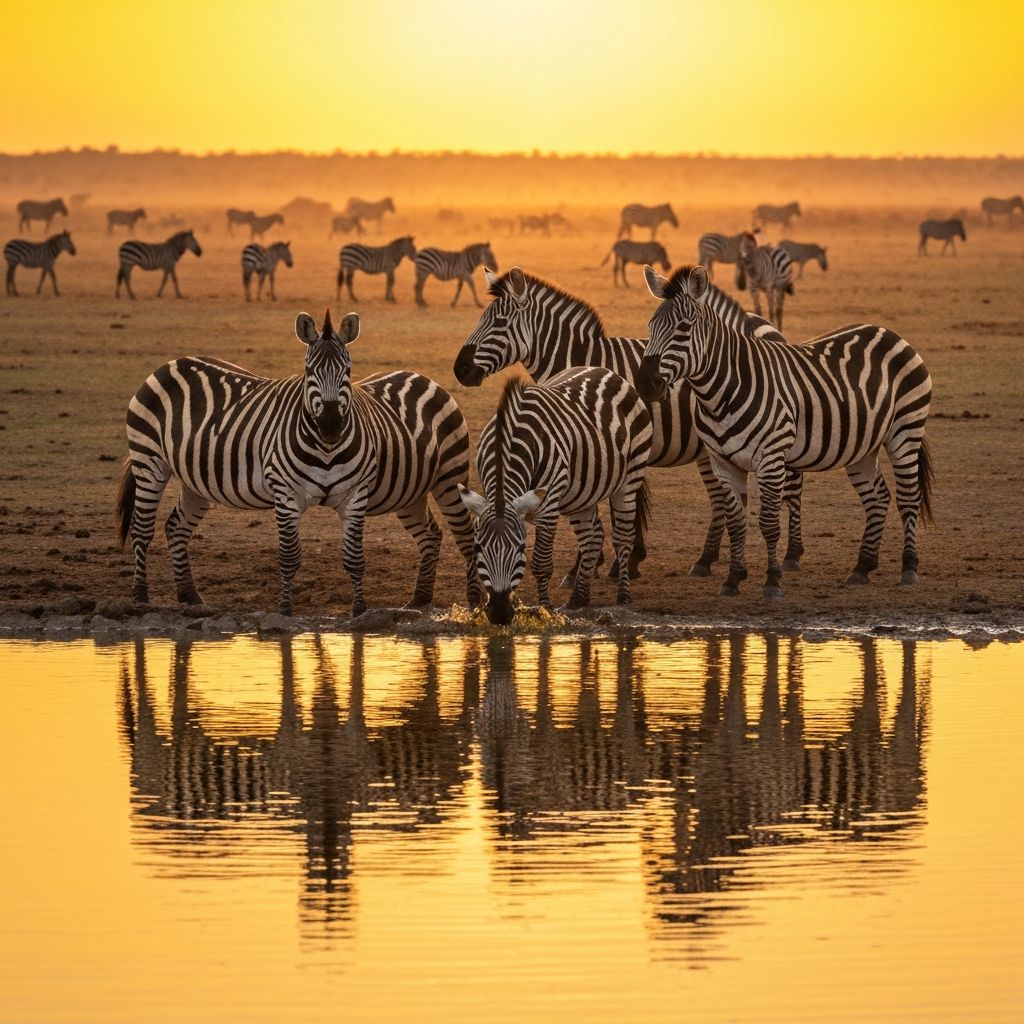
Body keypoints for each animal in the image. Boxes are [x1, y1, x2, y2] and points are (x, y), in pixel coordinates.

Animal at [115, 308, 481, 616]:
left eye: (348, 371)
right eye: (309, 371)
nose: (331, 424)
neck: (326, 447)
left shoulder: (356, 495)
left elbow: (354, 557)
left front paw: (359, 611)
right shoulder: (285, 492)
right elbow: (290, 556)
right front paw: (286, 610)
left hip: (441, 480)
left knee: (457, 535)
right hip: (150, 462)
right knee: (145, 528)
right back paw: (143, 597)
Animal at [453, 266, 807, 580]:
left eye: (499, 322)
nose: (460, 369)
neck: (582, 361)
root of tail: (770, 328)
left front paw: (598, 566)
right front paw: (620, 561)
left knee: (790, 484)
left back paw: (790, 554)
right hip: (714, 448)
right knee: (724, 501)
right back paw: (708, 559)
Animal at [459, 368, 652, 624]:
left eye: (521, 548)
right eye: (479, 548)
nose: (499, 613)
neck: (509, 444)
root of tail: (607, 372)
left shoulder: (548, 505)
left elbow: (541, 563)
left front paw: (545, 609)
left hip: (630, 477)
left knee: (623, 538)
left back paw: (623, 597)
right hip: (581, 495)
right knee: (592, 536)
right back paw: (578, 598)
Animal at [638, 263, 933, 601]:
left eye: (683, 329)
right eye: (650, 327)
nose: (645, 384)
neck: (722, 392)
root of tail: (888, 332)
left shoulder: (771, 457)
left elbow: (768, 523)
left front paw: (772, 581)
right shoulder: (723, 462)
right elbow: (736, 521)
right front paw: (733, 579)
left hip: (905, 430)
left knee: (908, 498)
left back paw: (908, 568)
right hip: (863, 445)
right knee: (878, 498)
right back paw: (862, 568)